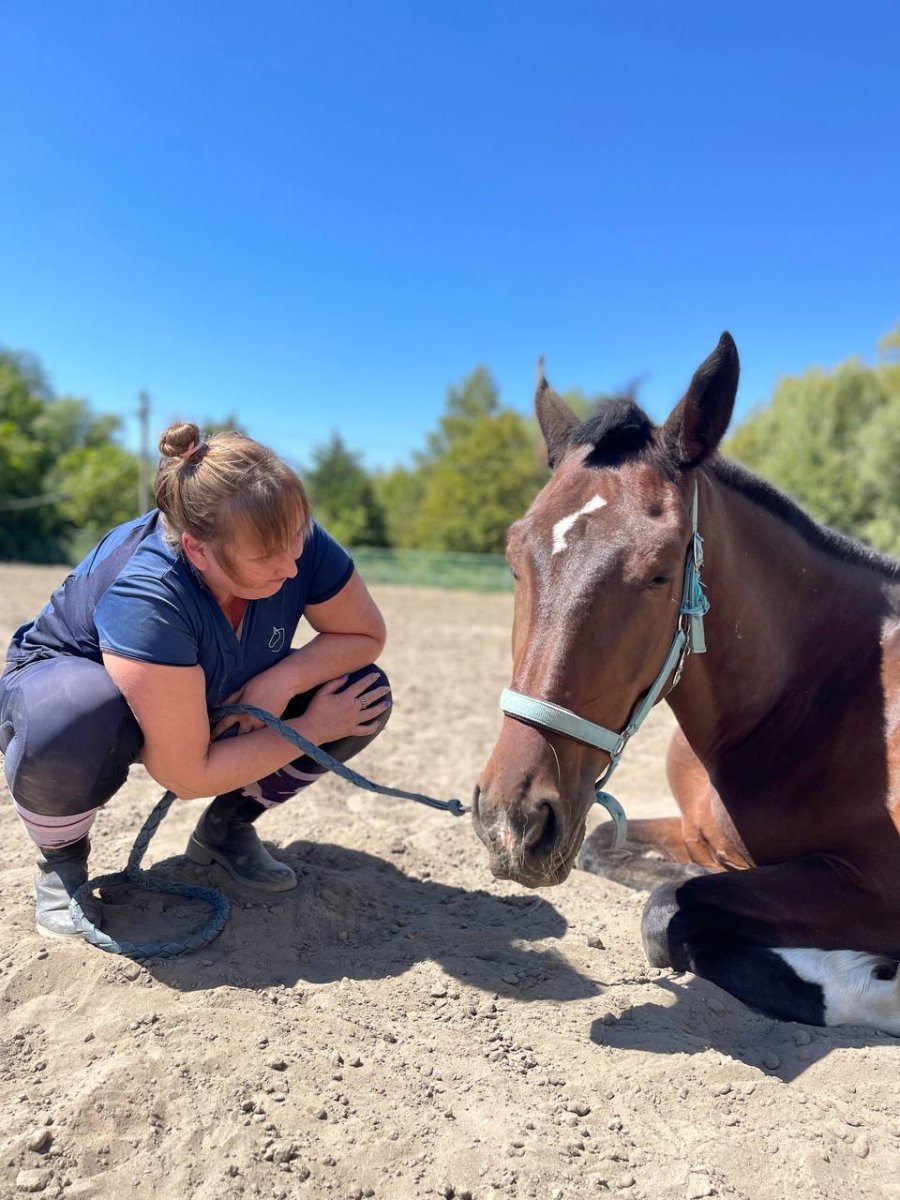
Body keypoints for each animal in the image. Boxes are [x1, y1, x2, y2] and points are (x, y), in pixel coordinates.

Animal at [472, 333, 900, 1036]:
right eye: (514, 557)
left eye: (659, 572)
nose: (513, 822)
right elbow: (624, 861)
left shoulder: (875, 886)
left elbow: (667, 909)